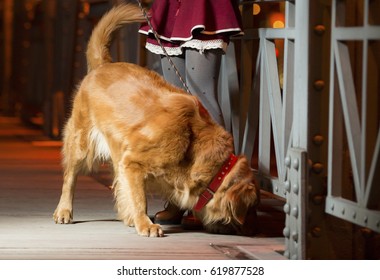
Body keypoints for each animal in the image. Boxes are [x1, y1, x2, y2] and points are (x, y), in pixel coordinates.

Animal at [52, 3, 258, 236]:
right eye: (252, 206)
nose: (256, 230)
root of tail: (103, 65)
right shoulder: (132, 162)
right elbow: (139, 198)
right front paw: (145, 223)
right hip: (80, 144)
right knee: (70, 179)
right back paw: (64, 210)